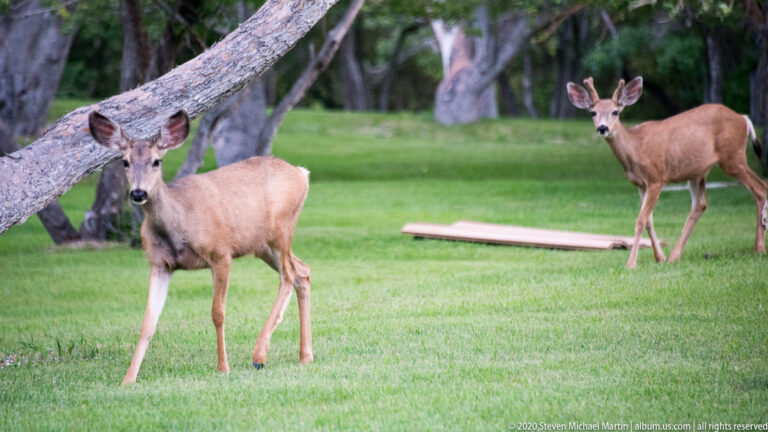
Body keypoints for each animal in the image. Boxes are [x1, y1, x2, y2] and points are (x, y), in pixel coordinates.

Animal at [88, 110, 313, 384]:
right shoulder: (159, 264)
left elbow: (218, 312)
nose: (138, 193)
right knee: (302, 271)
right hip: (262, 245)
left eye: (156, 161)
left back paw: (259, 355)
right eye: (125, 162)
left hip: (280, 229)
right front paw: (128, 379)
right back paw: (305, 356)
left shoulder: (221, 252)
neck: (177, 223)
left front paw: (223, 367)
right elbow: (147, 323)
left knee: (289, 275)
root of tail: (302, 173)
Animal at [566, 76, 767, 268]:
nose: (602, 128)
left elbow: (640, 220)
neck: (636, 148)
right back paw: (674, 256)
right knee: (700, 204)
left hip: (732, 157)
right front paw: (659, 257)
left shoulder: (656, 178)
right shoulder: (640, 183)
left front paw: (631, 263)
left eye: (616, 112)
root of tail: (743, 118)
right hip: (697, 171)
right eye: (593, 112)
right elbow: (649, 221)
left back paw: (759, 247)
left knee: (760, 188)